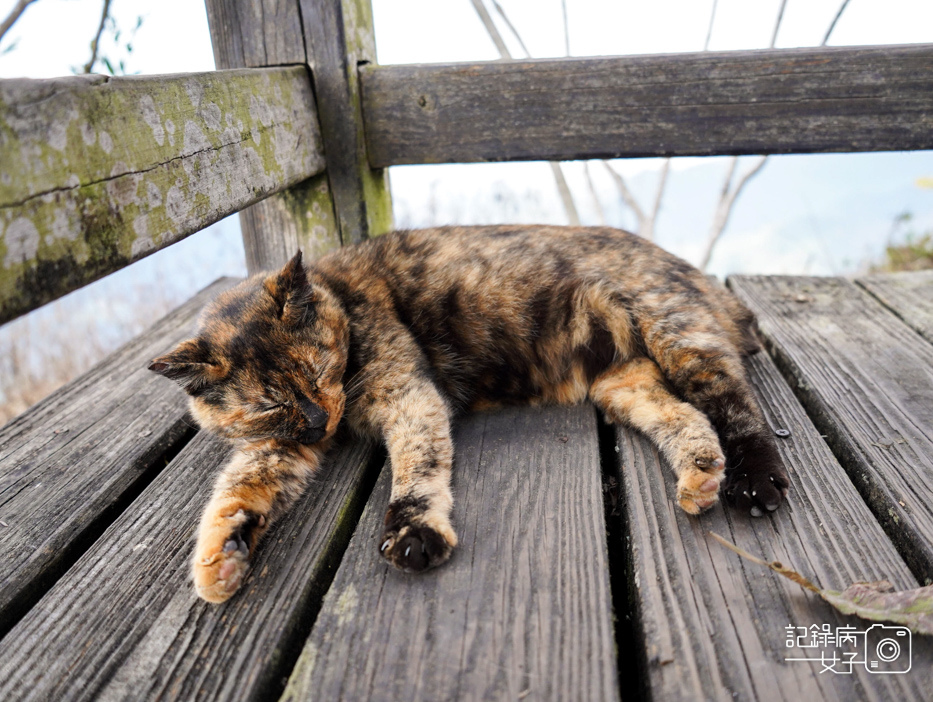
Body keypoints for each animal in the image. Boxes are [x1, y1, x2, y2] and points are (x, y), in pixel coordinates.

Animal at [149, 226, 792, 604]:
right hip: (625, 383)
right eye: (269, 404)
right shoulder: (280, 449)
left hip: (680, 335)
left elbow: (416, 475)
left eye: (318, 367)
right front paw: (220, 560)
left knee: (739, 408)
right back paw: (701, 477)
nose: (313, 420)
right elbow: (235, 492)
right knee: (689, 421)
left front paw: (414, 532)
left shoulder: (410, 399)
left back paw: (755, 480)